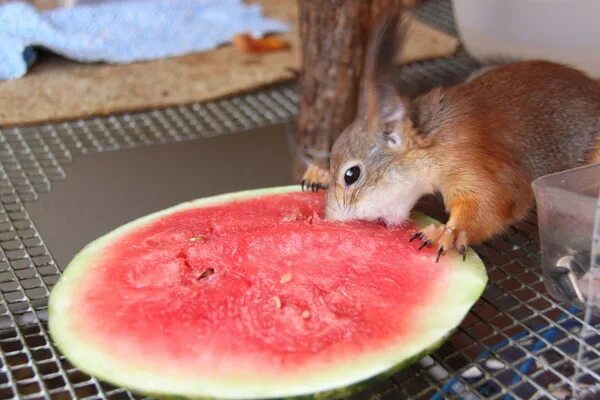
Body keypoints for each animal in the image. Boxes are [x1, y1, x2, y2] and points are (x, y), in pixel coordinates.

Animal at [302, 8, 600, 262]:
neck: (434, 141)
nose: (331, 219)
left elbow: (491, 202)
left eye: (352, 174)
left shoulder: (472, 160)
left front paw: (448, 233)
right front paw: (320, 173)